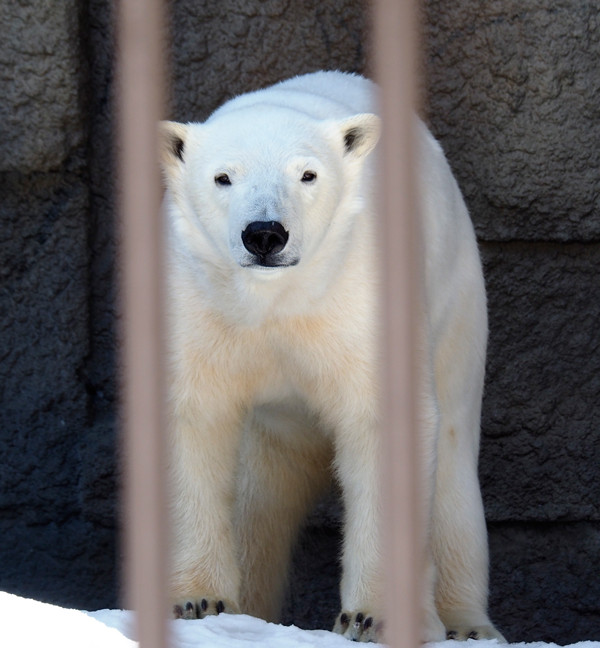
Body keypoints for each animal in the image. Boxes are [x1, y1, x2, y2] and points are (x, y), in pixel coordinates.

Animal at [157, 71, 504, 644]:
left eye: (308, 174)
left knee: (453, 469)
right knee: (258, 501)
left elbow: (387, 421)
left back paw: (466, 624)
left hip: (457, 308)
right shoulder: (199, 300)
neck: (278, 299)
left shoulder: (361, 293)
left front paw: (371, 616)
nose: (265, 233)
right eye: (223, 177)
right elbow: (194, 418)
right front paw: (198, 601)